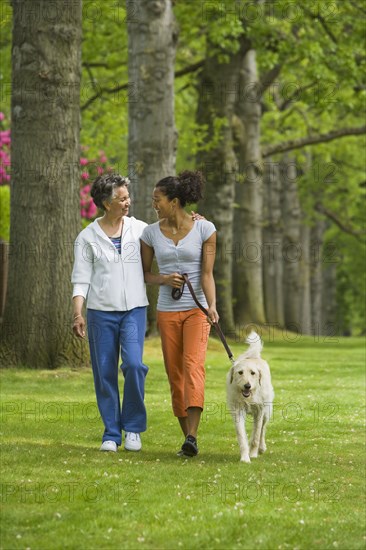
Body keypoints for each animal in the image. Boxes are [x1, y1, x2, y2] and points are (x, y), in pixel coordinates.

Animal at [226, 334, 274, 464]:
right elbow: (242, 436)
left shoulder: (259, 411)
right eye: (240, 372)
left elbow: (256, 435)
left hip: (267, 412)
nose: (247, 386)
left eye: (253, 373)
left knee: (262, 429)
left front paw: (253, 454)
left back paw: (261, 448)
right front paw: (245, 457)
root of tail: (253, 356)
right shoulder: (238, 412)